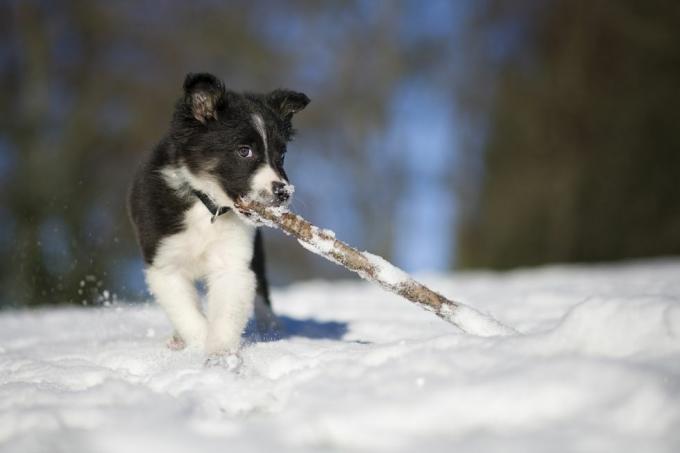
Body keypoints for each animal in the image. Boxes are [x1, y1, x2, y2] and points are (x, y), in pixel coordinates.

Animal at [129, 74, 310, 364]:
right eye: (244, 151)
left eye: (281, 155)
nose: (284, 192)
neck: (207, 206)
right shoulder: (165, 265)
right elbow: (188, 314)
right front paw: (201, 344)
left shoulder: (233, 262)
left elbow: (226, 313)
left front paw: (221, 355)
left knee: (262, 294)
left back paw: (272, 330)